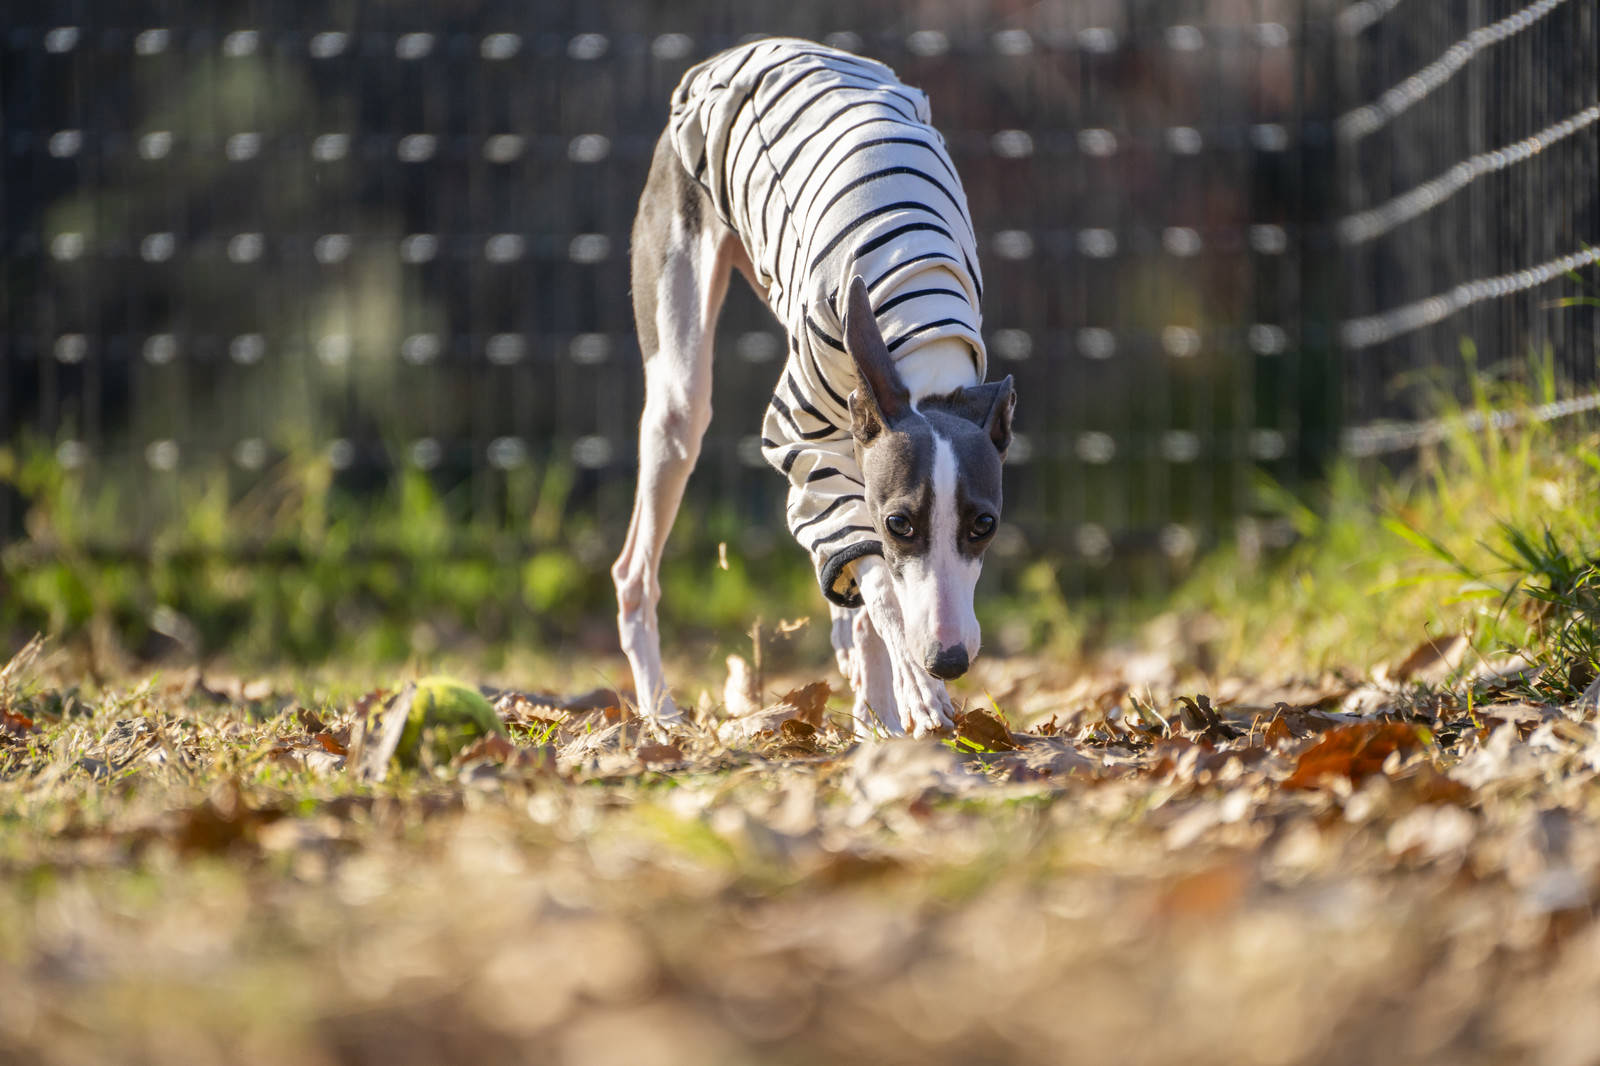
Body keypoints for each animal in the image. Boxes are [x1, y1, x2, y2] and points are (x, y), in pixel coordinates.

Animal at [611, 37, 1011, 736]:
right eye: (900, 522)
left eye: (983, 524)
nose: (950, 660)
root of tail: (732, 56)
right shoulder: (803, 445)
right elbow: (880, 584)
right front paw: (916, 692)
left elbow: (867, 584)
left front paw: (882, 714)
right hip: (679, 389)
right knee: (637, 569)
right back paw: (660, 713)